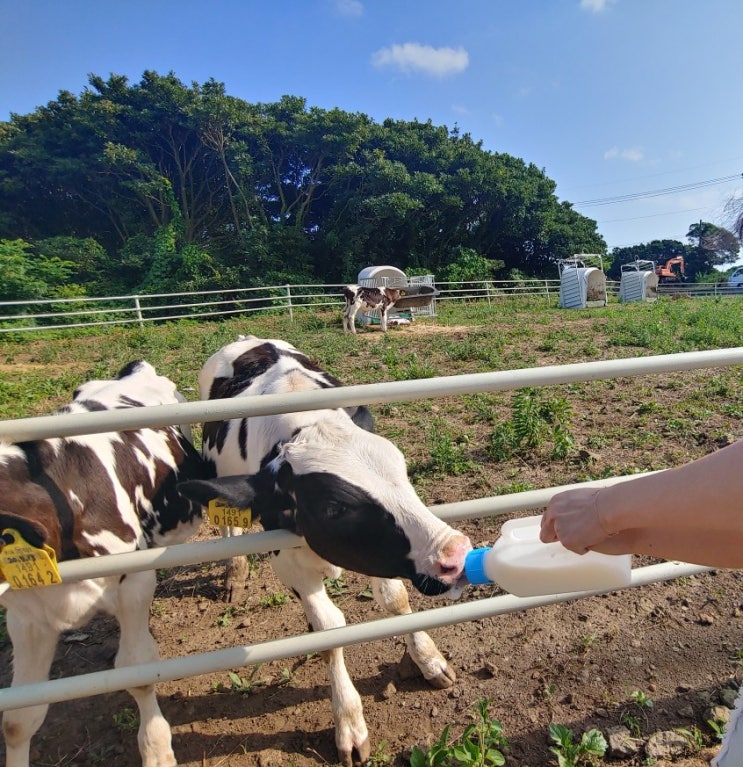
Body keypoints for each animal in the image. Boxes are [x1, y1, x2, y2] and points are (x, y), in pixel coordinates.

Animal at [176, 338, 470, 767]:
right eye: (334, 507)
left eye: (402, 469)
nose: (455, 554)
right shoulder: (289, 561)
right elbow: (329, 628)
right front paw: (349, 721)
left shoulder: (372, 551)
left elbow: (395, 599)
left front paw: (428, 658)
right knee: (229, 525)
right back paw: (235, 573)